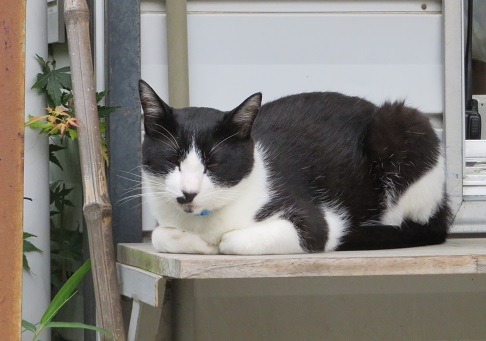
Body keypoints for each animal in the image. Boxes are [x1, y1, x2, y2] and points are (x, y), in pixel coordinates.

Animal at [139, 79, 450, 254]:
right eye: (172, 160)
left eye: (214, 163)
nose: (188, 194)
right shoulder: (163, 221)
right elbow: (158, 235)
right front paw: (198, 243)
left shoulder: (315, 220)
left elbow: (232, 241)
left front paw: (217, 242)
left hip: (402, 126)